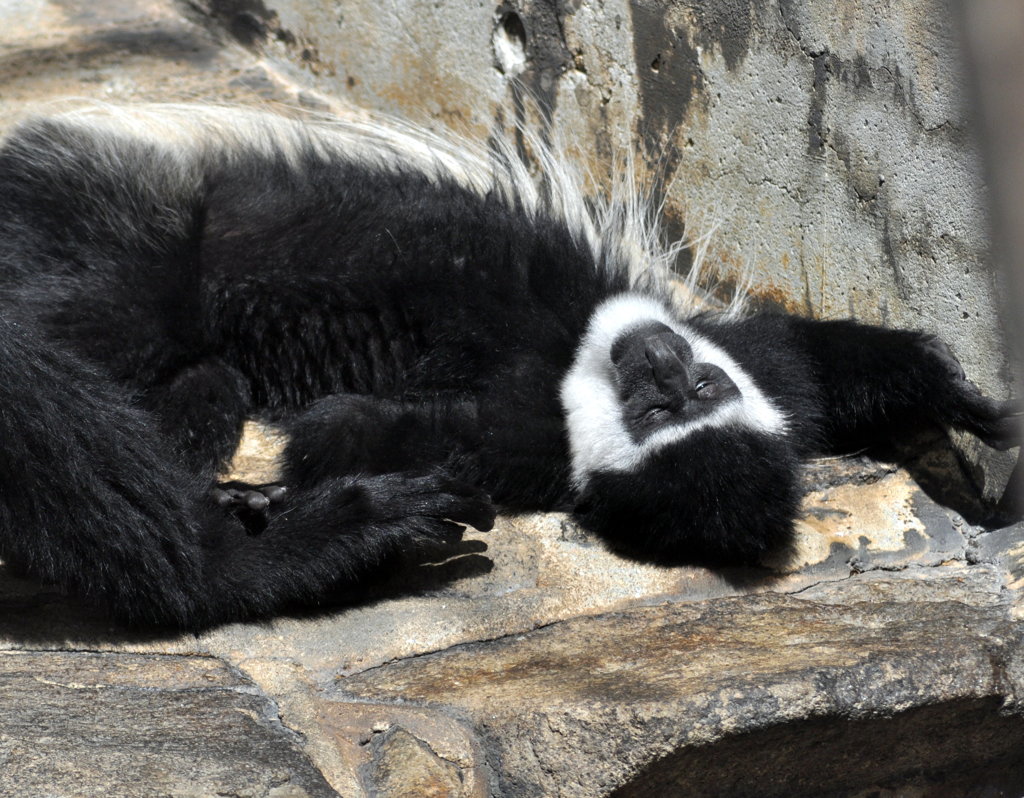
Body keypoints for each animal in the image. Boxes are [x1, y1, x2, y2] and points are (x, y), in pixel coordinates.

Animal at [0, 104, 1015, 631]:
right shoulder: (739, 358)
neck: (571, 362)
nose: (654, 358)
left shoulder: (522, 438)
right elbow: (808, 349)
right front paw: (966, 399)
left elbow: (356, 428)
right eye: (675, 396)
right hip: (126, 246)